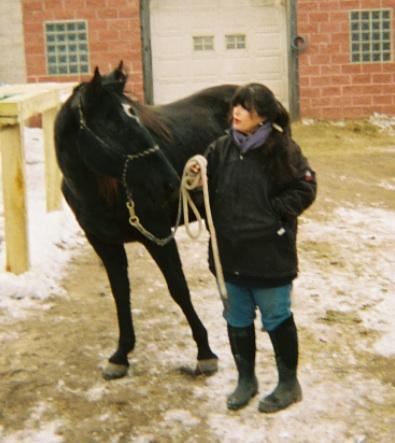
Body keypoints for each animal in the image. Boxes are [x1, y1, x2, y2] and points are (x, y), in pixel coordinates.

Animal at [54, 62, 237, 380]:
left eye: (136, 116)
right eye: (113, 125)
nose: (170, 183)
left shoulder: (158, 236)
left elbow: (178, 288)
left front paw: (204, 353)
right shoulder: (104, 245)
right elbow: (120, 294)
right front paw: (121, 355)